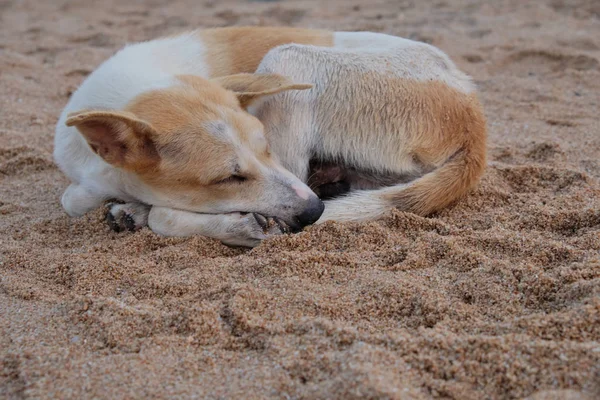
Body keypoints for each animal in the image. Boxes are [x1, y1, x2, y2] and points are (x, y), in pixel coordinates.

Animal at [54, 26, 488, 247]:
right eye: (229, 177)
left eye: (266, 150)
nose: (314, 211)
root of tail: (474, 120)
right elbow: (74, 198)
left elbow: (161, 214)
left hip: (289, 59)